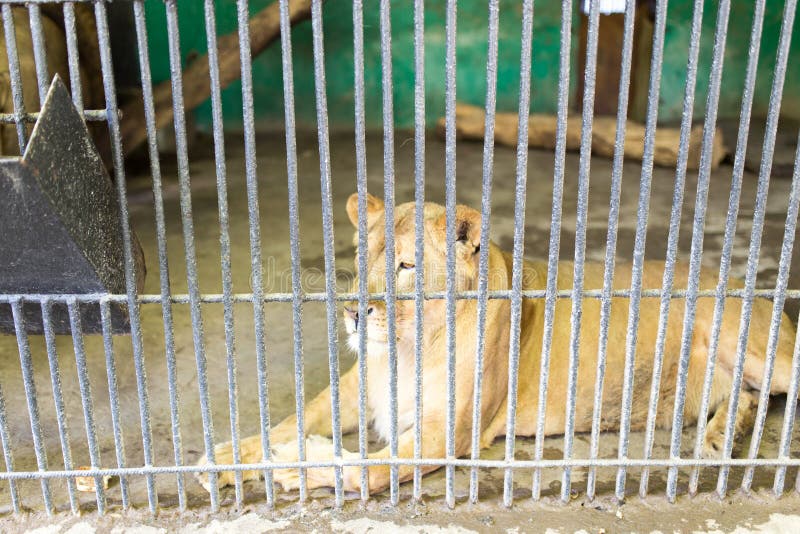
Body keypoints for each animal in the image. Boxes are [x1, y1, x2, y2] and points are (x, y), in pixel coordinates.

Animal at [197, 195, 796, 496]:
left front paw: (293, 466)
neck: (410, 347)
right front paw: (225, 458)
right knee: (747, 394)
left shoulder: (448, 434)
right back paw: (717, 440)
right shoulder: (359, 388)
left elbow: (367, 468)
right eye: (362, 258)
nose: (351, 312)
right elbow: (292, 419)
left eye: (407, 265)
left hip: (759, 348)